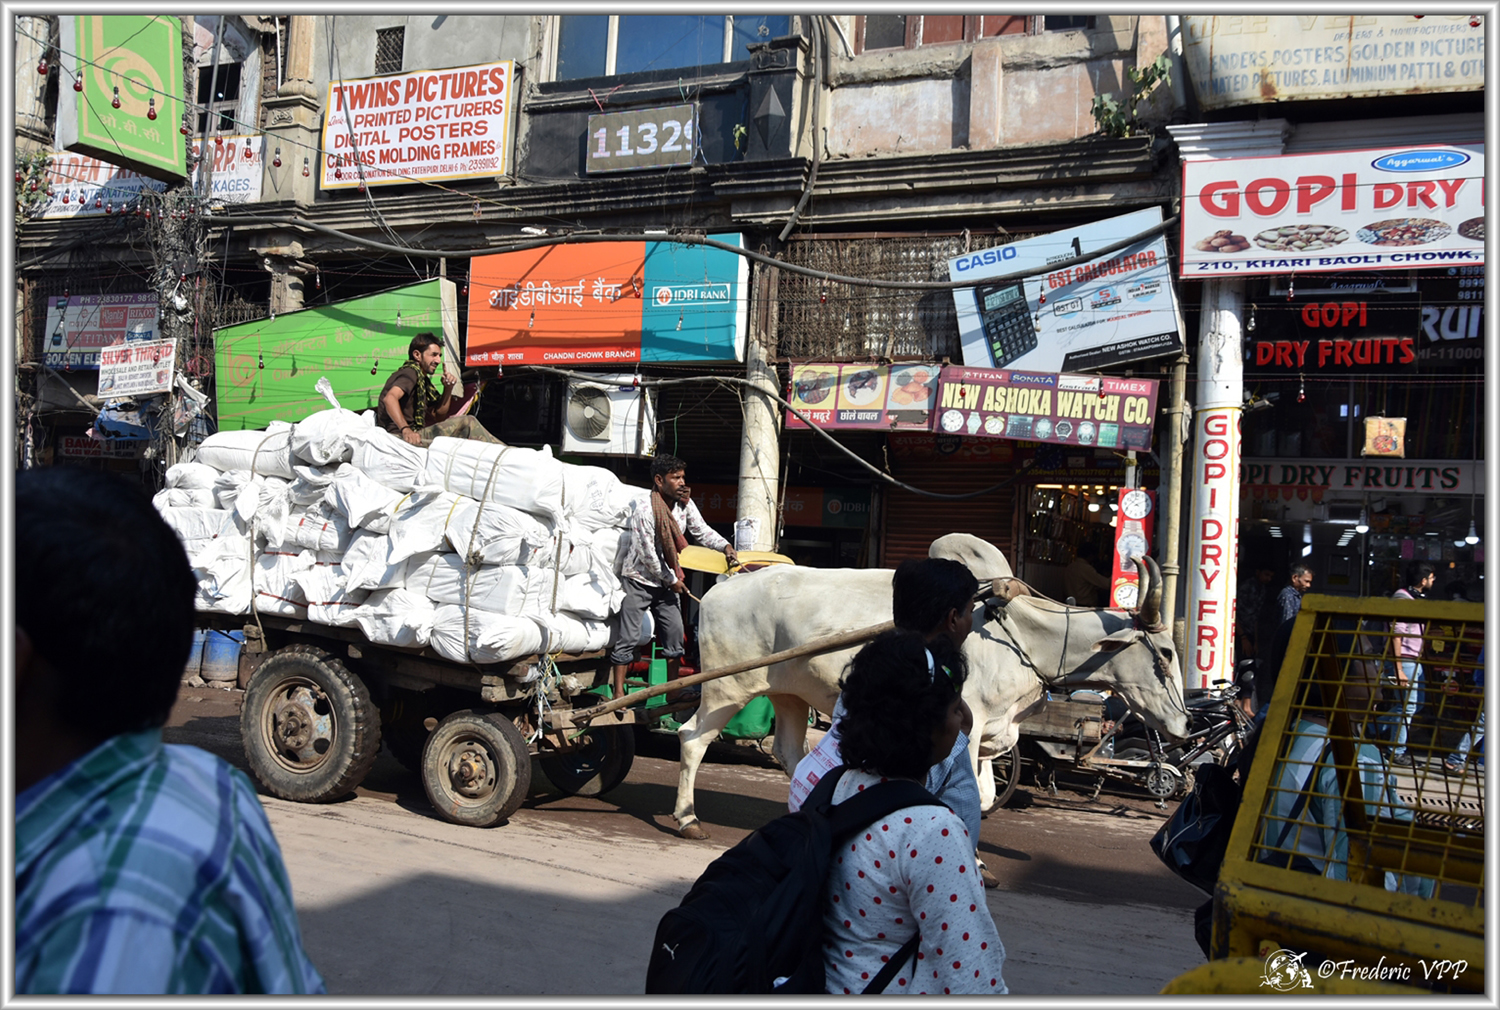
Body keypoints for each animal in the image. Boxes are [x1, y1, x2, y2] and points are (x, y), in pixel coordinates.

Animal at [671, 538, 1186, 840]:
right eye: (1165, 652)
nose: (1184, 724)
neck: (1019, 631)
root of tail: (721, 587)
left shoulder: (992, 735)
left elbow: (982, 796)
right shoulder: (966, 728)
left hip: (789, 694)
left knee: (790, 752)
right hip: (726, 687)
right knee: (692, 739)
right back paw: (687, 818)